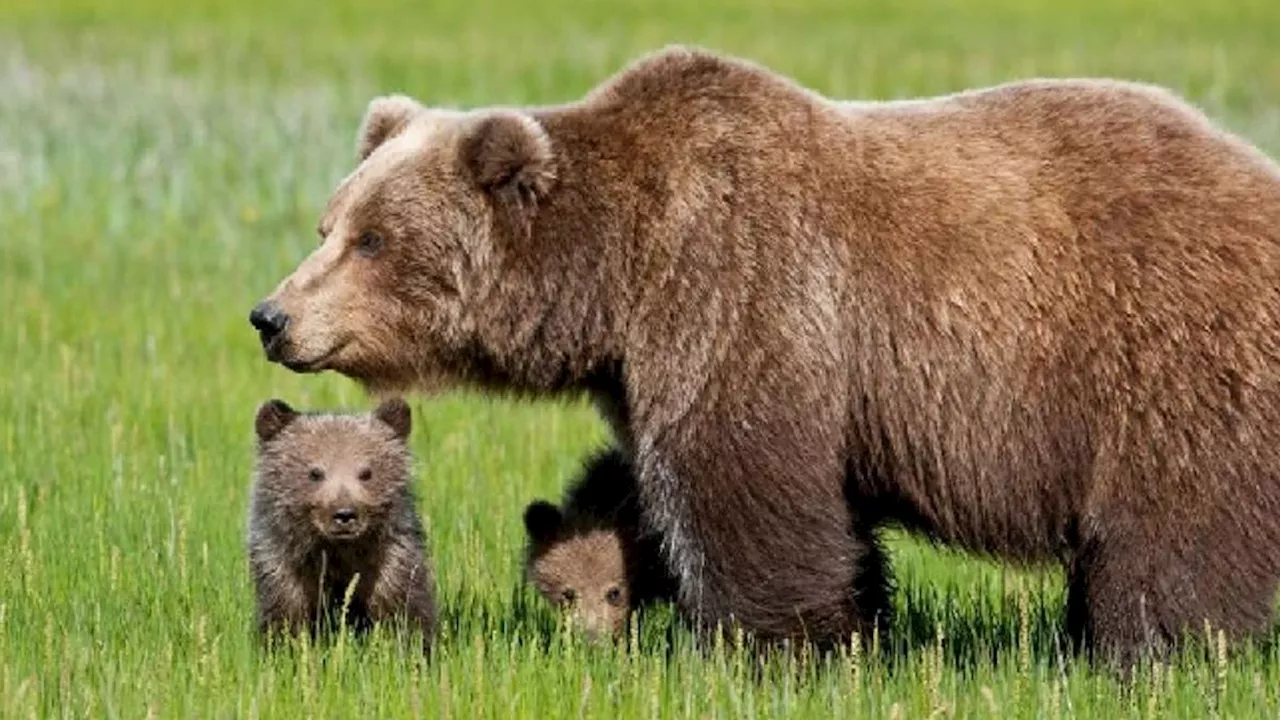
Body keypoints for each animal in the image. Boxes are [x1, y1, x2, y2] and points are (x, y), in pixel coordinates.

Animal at [247, 43, 1280, 661]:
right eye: (330, 223)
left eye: (375, 239)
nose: (271, 316)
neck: (617, 274)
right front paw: (857, 628)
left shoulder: (741, 291)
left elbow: (744, 486)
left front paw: (766, 646)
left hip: (1163, 359)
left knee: (1173, 532)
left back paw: (1153, 651)